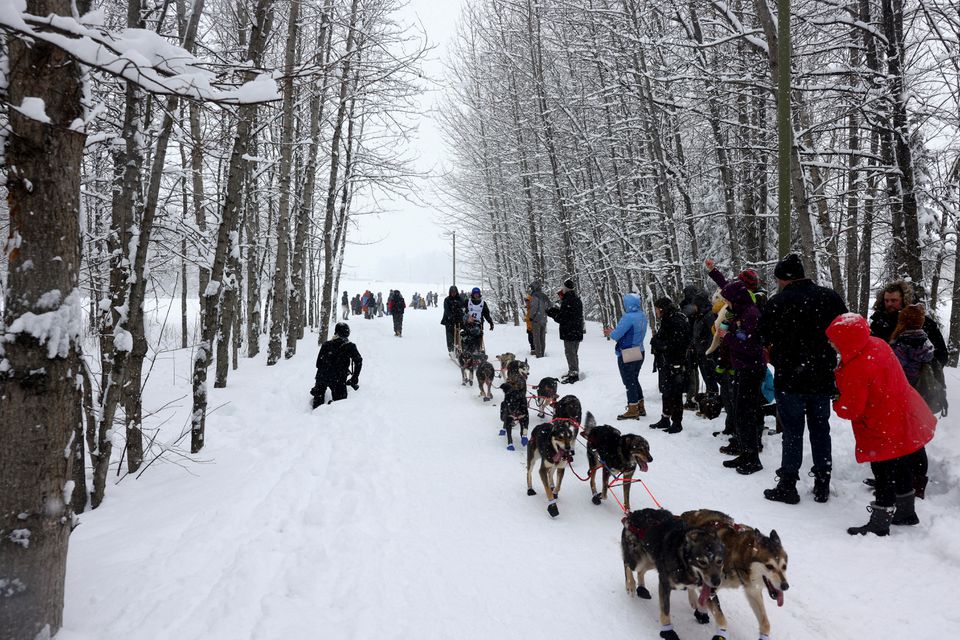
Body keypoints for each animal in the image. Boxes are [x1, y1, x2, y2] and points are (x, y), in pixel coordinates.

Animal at [624, 510, 728, 640]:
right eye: (702, 562)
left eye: (720, 561)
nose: (717, 582)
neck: (683, 561)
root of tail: (633, 514)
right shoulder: (664, 583)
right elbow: (665, 610)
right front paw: (668, 631)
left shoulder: (705, 588)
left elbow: (721, 616)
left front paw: (721, 633)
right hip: (639, 560)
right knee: (628, 565)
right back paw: (631, 585)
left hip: (651, 561)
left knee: (640, 571)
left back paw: (642, 589)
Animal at [676, 510, 788, 640]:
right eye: (769, 566)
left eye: (784, 566)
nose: (785, 586)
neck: (737, 556)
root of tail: (686, 514)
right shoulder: (710, 586)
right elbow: (721, 618)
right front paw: (721, 632)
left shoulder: (752, 590)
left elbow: (766, 623)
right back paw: (694, 600)